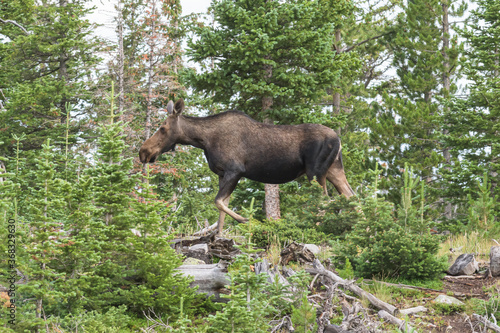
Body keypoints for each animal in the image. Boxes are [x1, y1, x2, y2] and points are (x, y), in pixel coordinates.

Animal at [139, 98, 354, 233]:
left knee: (324, 202)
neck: (203, 140)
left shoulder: (235, 171)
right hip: (334, 170)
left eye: (163, 128)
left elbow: (218, 202)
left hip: (315, 172)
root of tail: (338, 139)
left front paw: (245, 219)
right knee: (352, 197)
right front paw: (218, 236)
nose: (143, 152)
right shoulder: (221, 174)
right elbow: (221, 209)